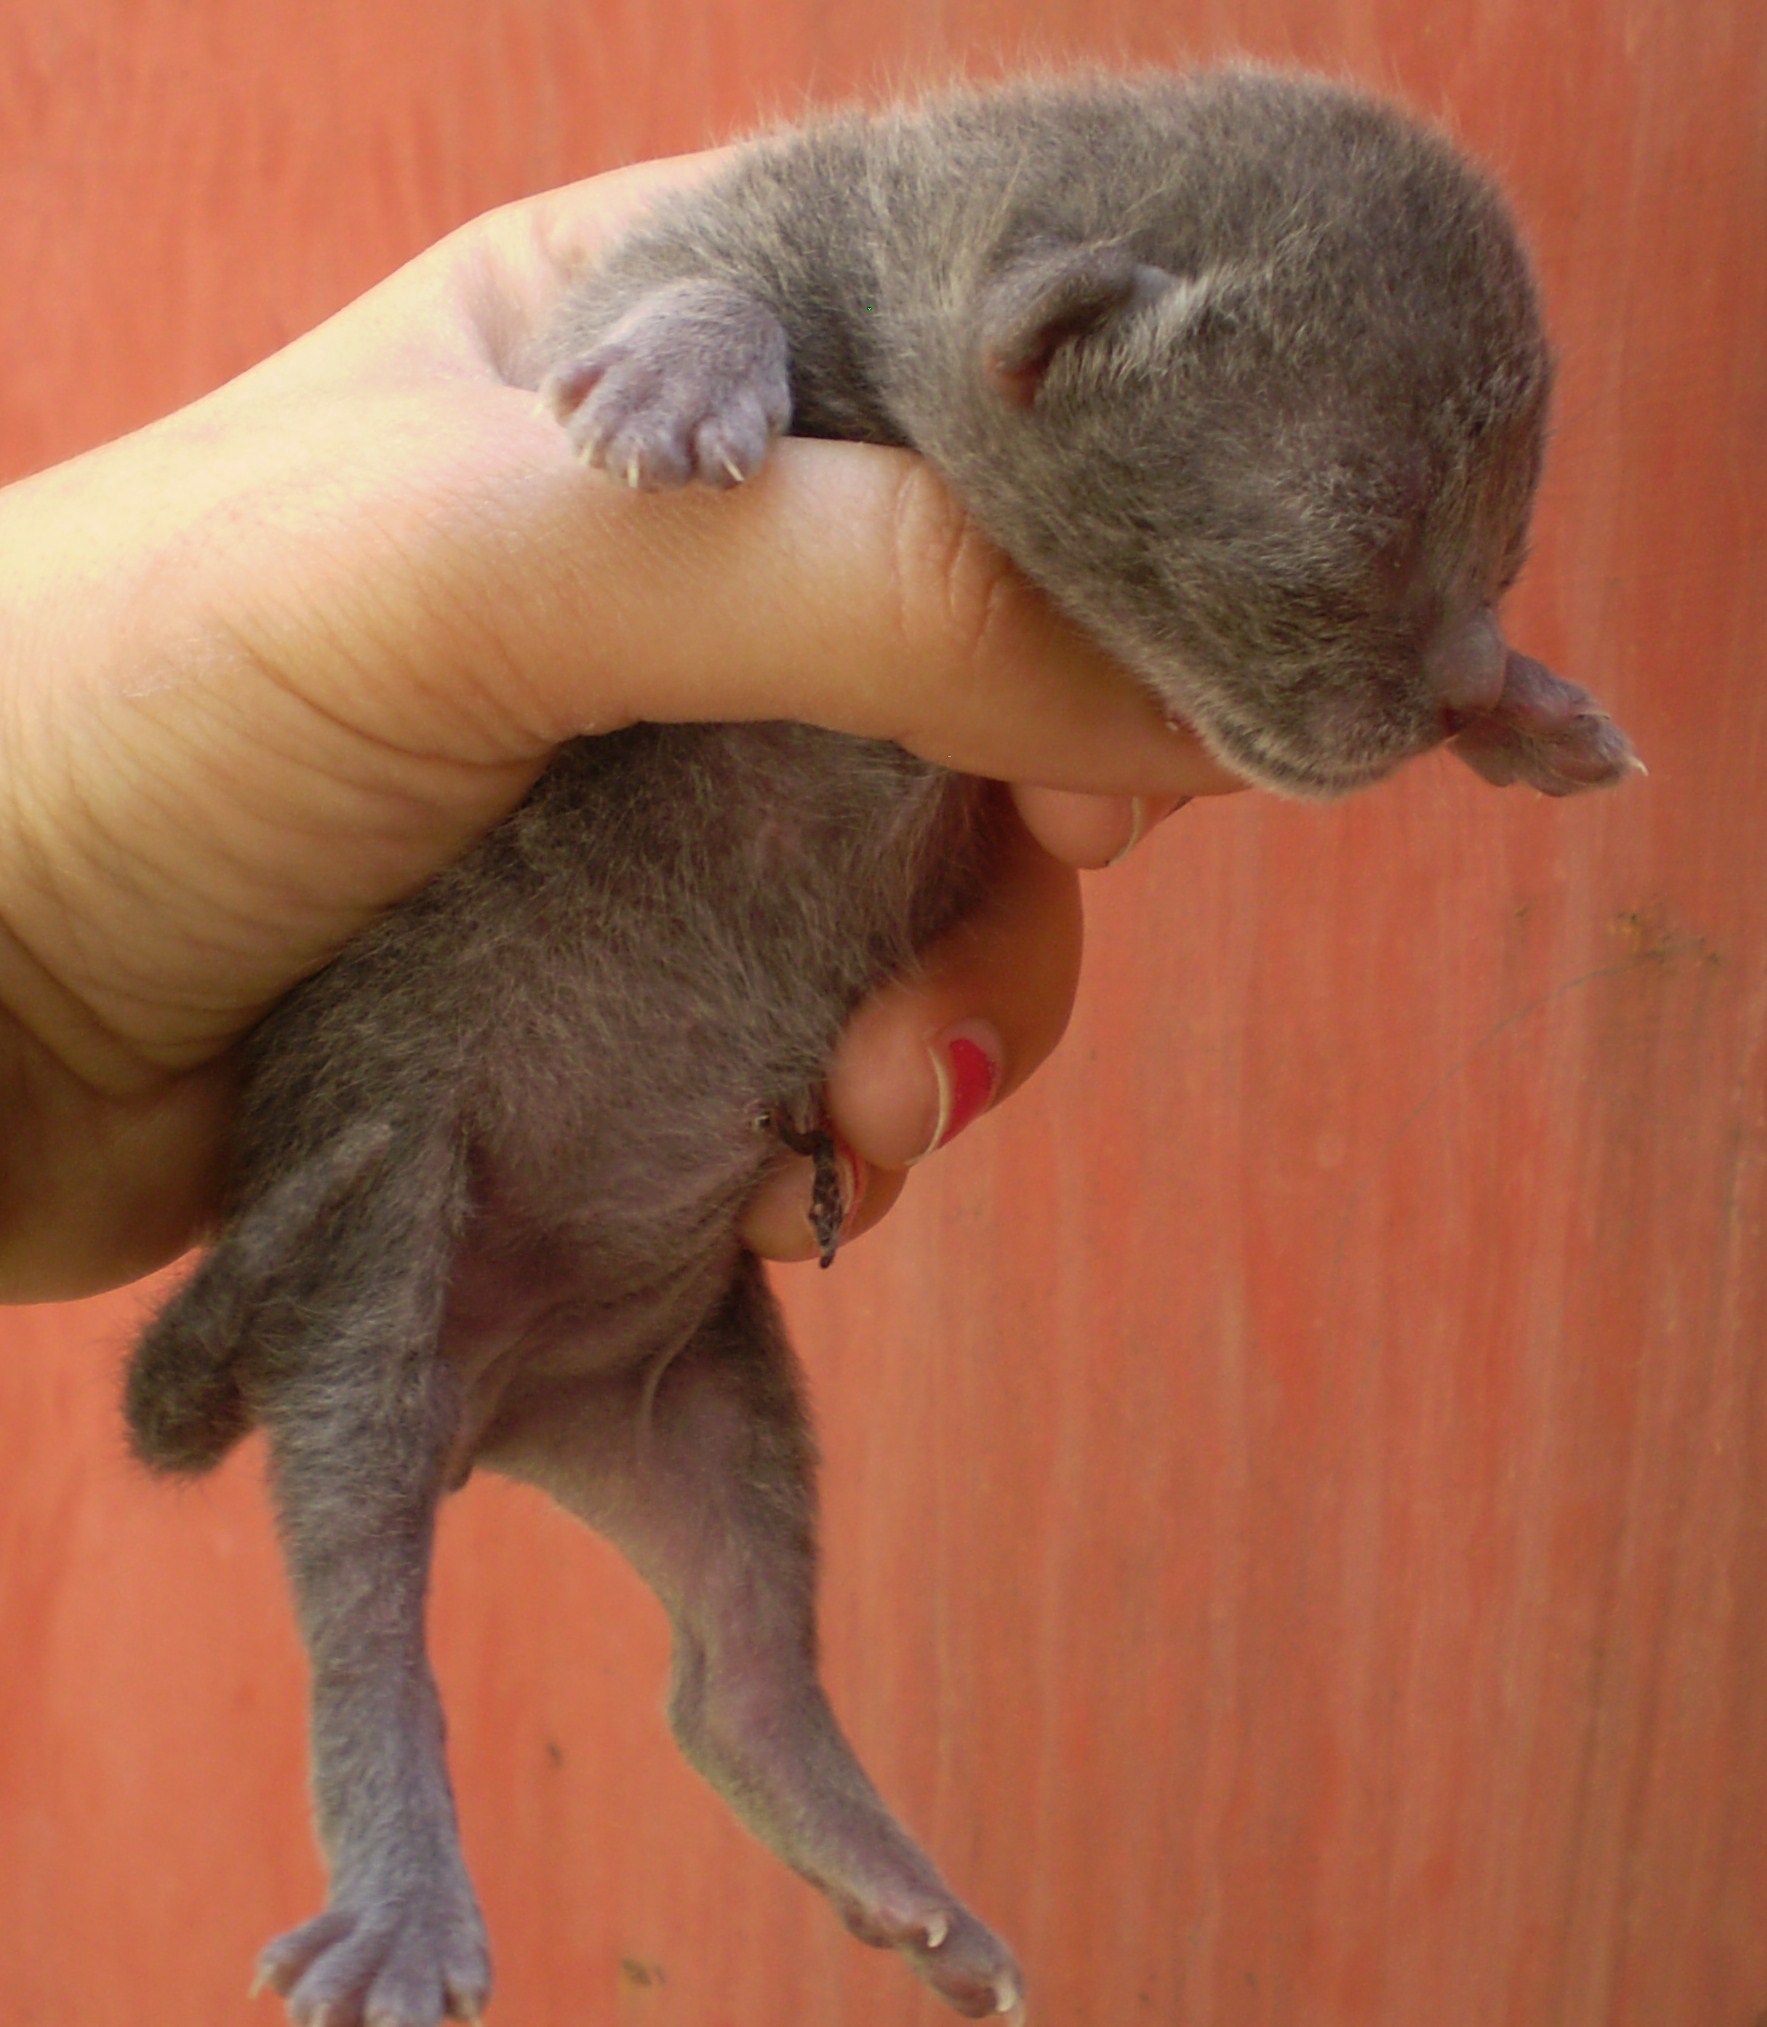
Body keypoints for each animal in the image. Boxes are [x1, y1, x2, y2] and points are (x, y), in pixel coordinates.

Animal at [124, 66, 1638, 2027]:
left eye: (1504, 547)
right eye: (1363, 545)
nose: (1454, 688)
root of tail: (503, 1398)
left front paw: (1534, 711)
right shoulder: (712, 227)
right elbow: (676, 285)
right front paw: (681, 373)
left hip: (703, 1377)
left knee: (730, 1668)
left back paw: (887, 1866)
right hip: (369, 1239)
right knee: (357, 1590)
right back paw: (398, 1895)